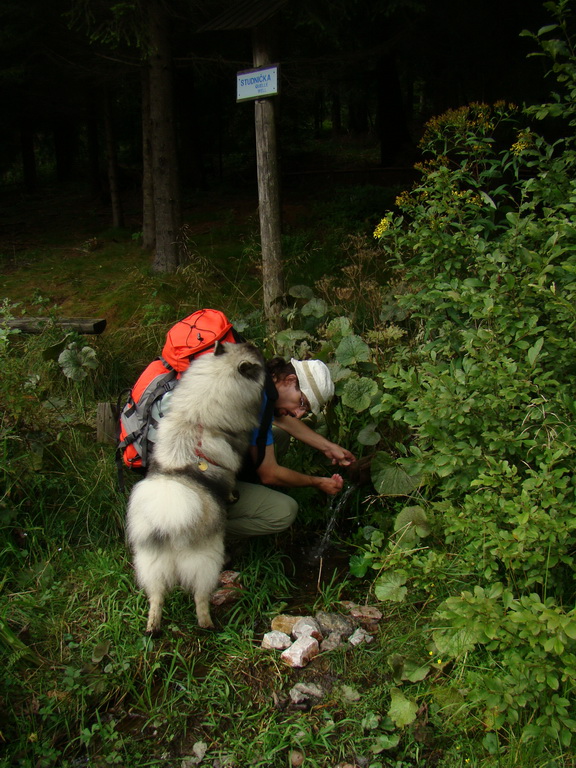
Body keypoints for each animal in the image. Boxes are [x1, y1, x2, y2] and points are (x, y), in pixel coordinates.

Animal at [126, 342, 266, 636]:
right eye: (258, 360)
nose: (257, 346)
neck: (197, 416)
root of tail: (169, 526)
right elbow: (232, 482)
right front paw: (233, 496)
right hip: (205, 562)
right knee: (200, 596)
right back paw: (207, 624)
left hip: (150, 565)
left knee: (156, 597)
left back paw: (153, 626)